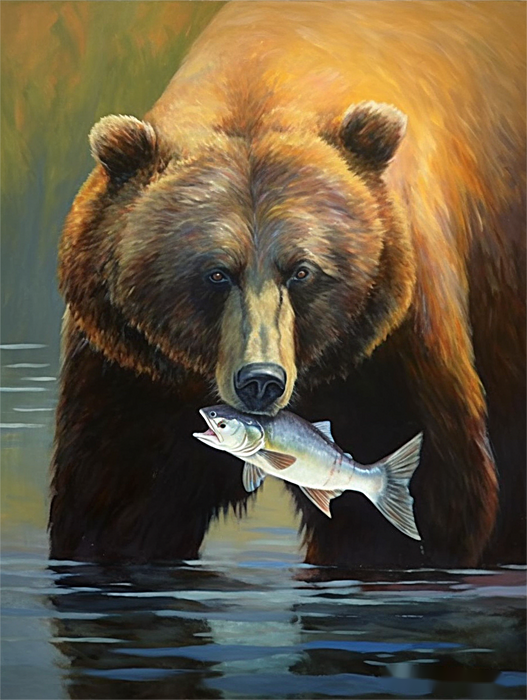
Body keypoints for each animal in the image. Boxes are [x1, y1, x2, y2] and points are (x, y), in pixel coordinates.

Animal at [50, 1, 527, 568]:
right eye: (216, 272)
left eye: (302, 271)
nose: (261, 380)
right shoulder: (134, 368)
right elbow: (117, 498)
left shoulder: (390, 344)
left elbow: (429, 502)